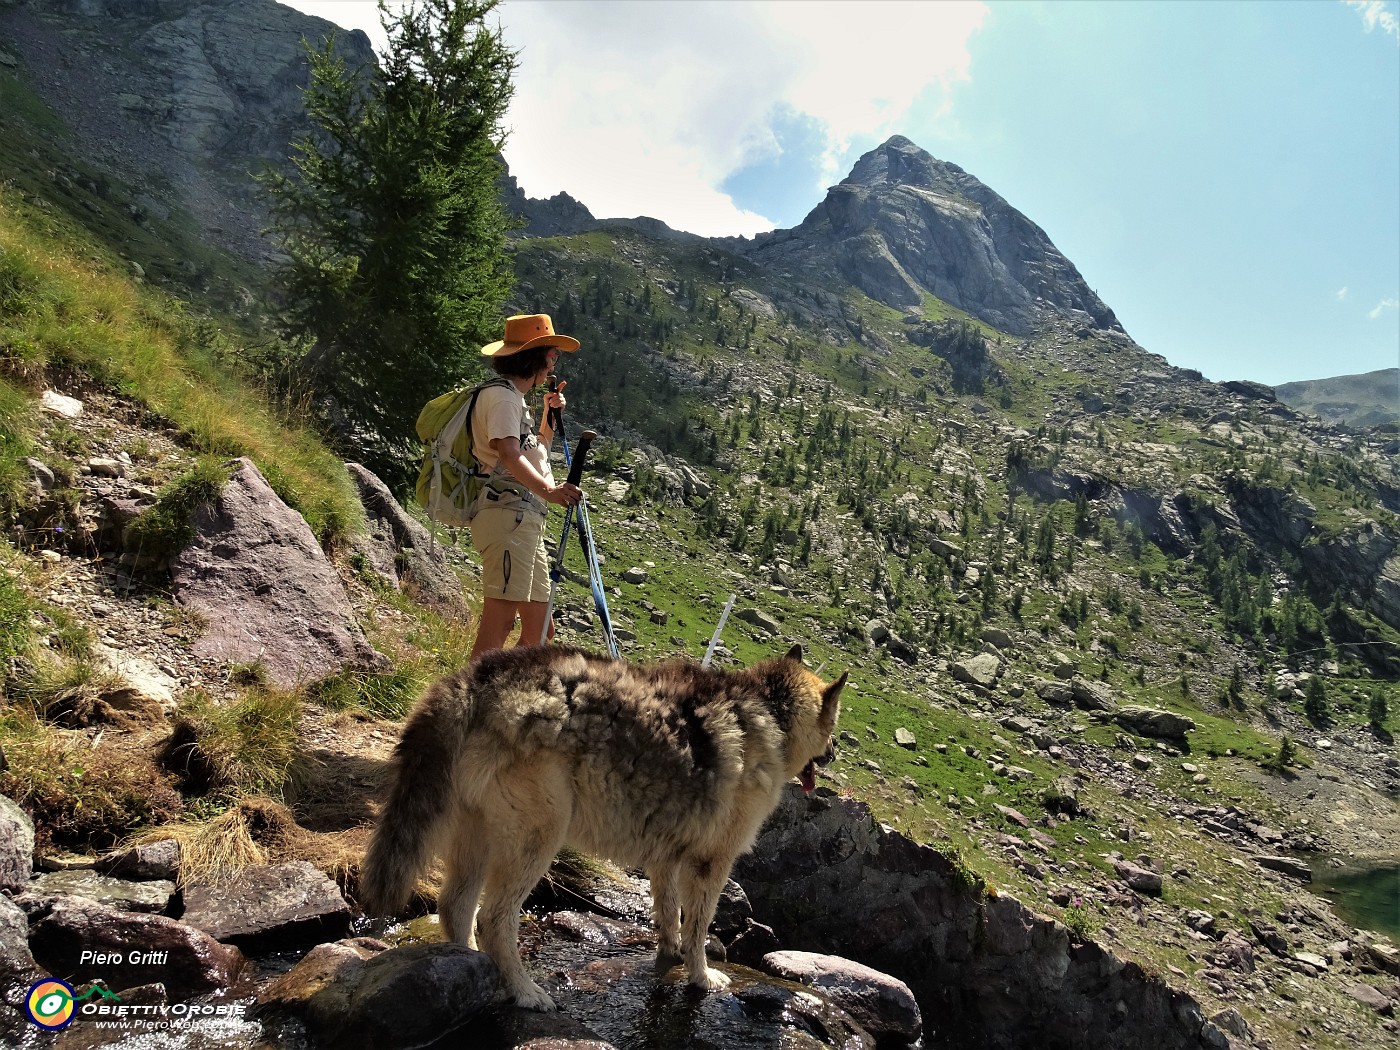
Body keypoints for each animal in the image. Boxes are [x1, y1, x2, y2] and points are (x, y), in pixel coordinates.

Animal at [361, 641, 840, 1013]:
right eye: (833, 727)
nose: (834, 755)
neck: (769, 714)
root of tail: (477, 677)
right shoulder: (711, 862)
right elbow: (699, 926)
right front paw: (702, 976)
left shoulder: (666, 859)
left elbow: (669, 914)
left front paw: (670, 954)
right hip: (539, 837)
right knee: (493, 918)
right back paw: (524, 991)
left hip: (478, 837)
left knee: (455, 907)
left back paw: (476, 970)